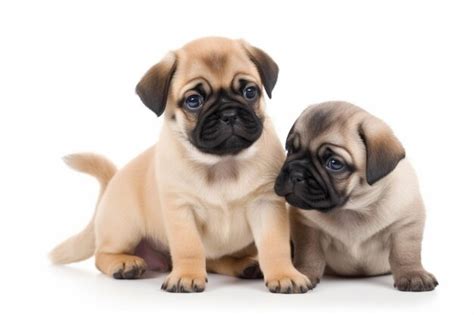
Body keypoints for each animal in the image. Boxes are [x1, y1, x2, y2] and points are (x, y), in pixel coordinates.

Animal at [50, 36, 312, 294]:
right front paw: (187, 276)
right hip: (124, 227)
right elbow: (189, 247)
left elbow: (274, 245)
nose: (228, 114)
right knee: (102, 254)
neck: (223, 163)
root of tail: (113, 180)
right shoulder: (181, 210)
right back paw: (124, 263)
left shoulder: (266, 205)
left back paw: (244, 265)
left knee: (216, 259)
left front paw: (284, 274)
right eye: (193, 101)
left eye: (250, 92)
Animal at [276, 102, 438, 292]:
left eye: (334, 163)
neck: (354, 209)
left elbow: (406, 253)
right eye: (291, 149)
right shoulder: (308, 227)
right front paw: (303, 272)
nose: (295, 173)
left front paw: (413, 274)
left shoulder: (406, 224)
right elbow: (309, 253)